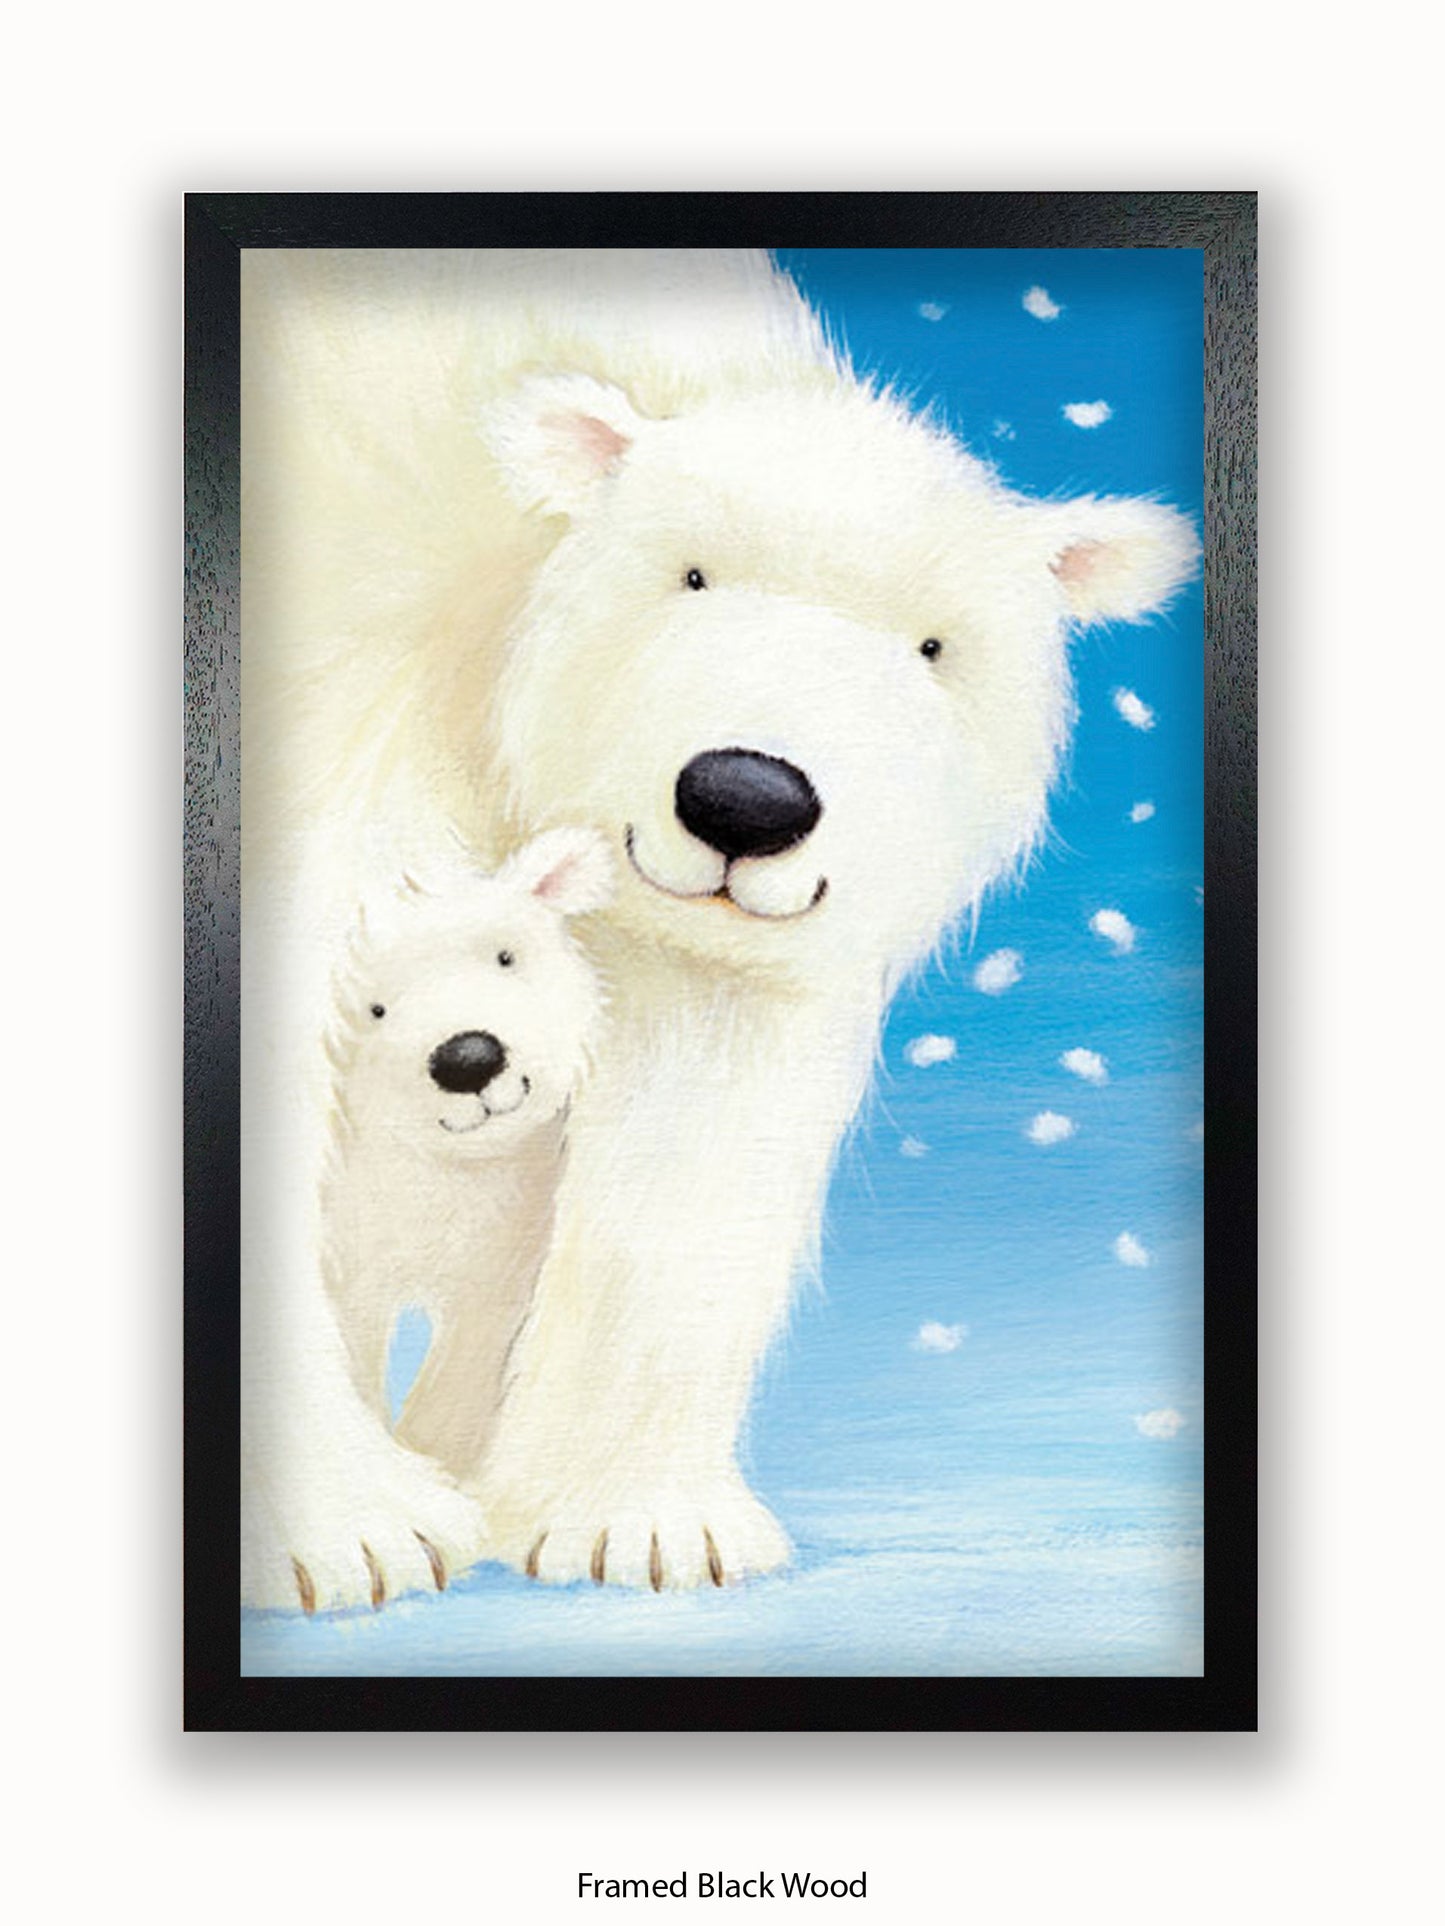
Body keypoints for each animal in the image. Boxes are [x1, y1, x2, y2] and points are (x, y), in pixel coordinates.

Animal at [240, 248, 1197, 1600]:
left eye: (932, 644)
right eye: (687, 573)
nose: (746, 796)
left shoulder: (714, 940)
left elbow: (691, 1118)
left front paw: (634, 1524)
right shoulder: (353, 707)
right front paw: (357, 1532)